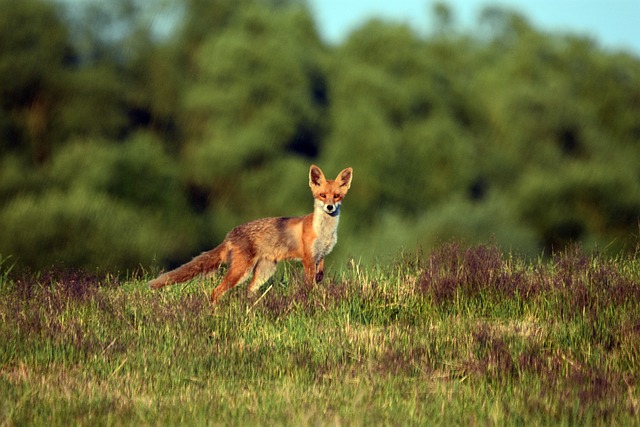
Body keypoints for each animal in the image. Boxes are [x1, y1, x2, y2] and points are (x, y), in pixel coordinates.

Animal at [148, 164, 352, 304]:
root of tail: (229, 235)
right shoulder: (308, 258)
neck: (324, 232)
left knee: (248, 291)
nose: (330, 207)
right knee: (216, 292)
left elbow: (320, 276)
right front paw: (312, 300)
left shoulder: (320, 256)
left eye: (336, 196)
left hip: (264, 271)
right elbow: (310, 285)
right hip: (241, 271)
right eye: (322, 195)